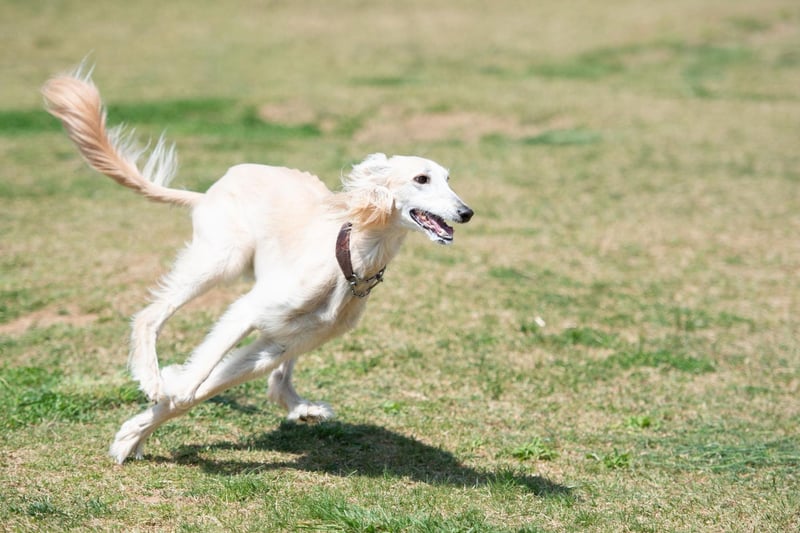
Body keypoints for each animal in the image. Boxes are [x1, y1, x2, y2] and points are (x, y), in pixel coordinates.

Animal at [40, 66, 472, 464]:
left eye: (449, 179)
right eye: (421, 178)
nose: (466, 213)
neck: (348, 260)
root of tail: (209, 190)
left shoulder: (275, 344)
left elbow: (206, 388)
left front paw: (132, 434)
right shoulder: (249, 309)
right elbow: (197, 379)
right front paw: (162, 395)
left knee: (278, 381)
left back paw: (301, 407)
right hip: (221, 260)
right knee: (150, 315)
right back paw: (151, 374)